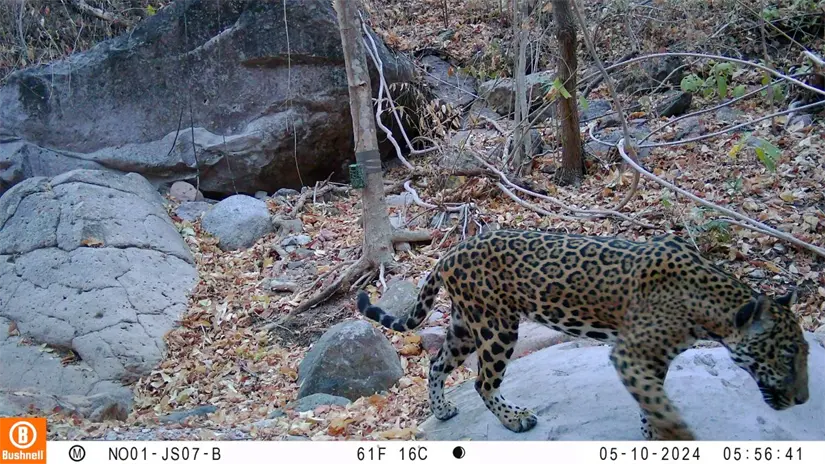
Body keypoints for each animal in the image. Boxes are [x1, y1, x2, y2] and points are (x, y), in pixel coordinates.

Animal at [356, 229, 810, 440]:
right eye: (787, 356)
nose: (804, 400)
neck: (709, 306)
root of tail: (450, 251)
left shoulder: (649, 359)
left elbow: (653, 400)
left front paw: (653, 434)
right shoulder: (631, 353)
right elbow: (659, 403)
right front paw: (674, 435)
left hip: (468, 325)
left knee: (437, 362)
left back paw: (443, 410)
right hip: (496, 326)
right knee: (484, 381)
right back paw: (515, 419)